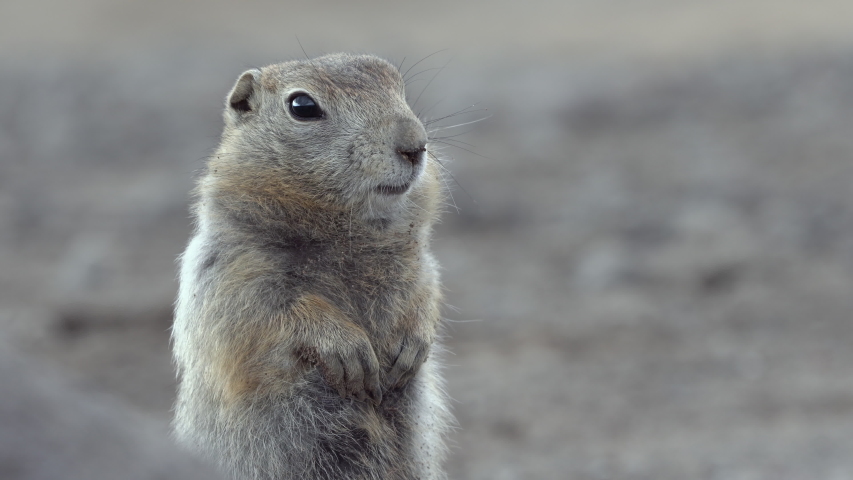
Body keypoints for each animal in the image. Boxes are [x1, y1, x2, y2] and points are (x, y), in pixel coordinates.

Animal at [171, 53, 452, 480]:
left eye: (395, 81)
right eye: (302, 106)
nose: (415, 145)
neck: (348, 234)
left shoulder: (420, 262)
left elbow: (427, 290)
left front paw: (413, 346)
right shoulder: (229, 270)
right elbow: (261, 311)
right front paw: (348, 350)